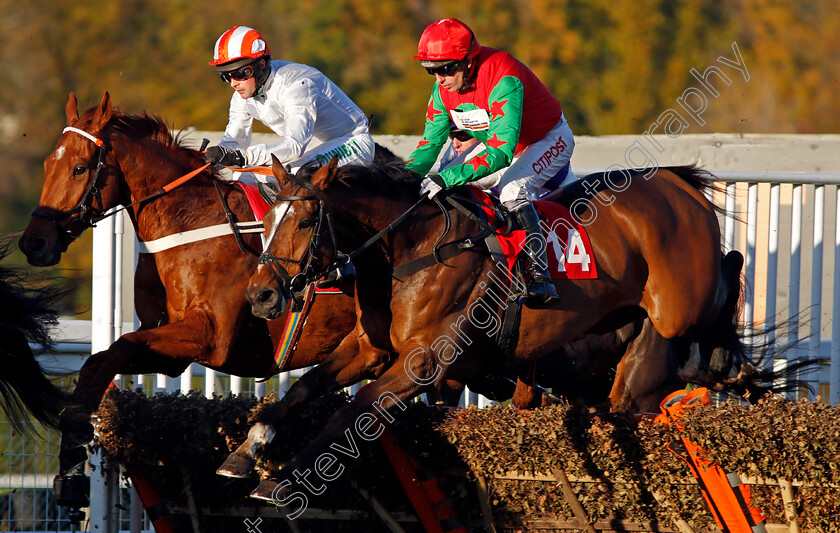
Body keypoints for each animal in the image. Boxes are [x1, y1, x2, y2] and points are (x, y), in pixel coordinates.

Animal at [17, 91, 358, 470]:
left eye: (79, 168)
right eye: (48, 164)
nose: (34, 242)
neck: (190, 222)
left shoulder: (211, 337)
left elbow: (118, 348)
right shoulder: (170, 347)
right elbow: (99, 360)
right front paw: (72, 445)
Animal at [225, 155, 780, 498]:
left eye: (303, 222)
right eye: (265, 219)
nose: (260, 295)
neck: (412, 249)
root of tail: (679, 183)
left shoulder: (423, 362)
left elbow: (351, 410)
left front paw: (284, 481)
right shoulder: (369, 349)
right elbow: (302, 390)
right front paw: (245, 453)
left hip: (672, 320)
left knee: (722, 289)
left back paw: (729, 362)